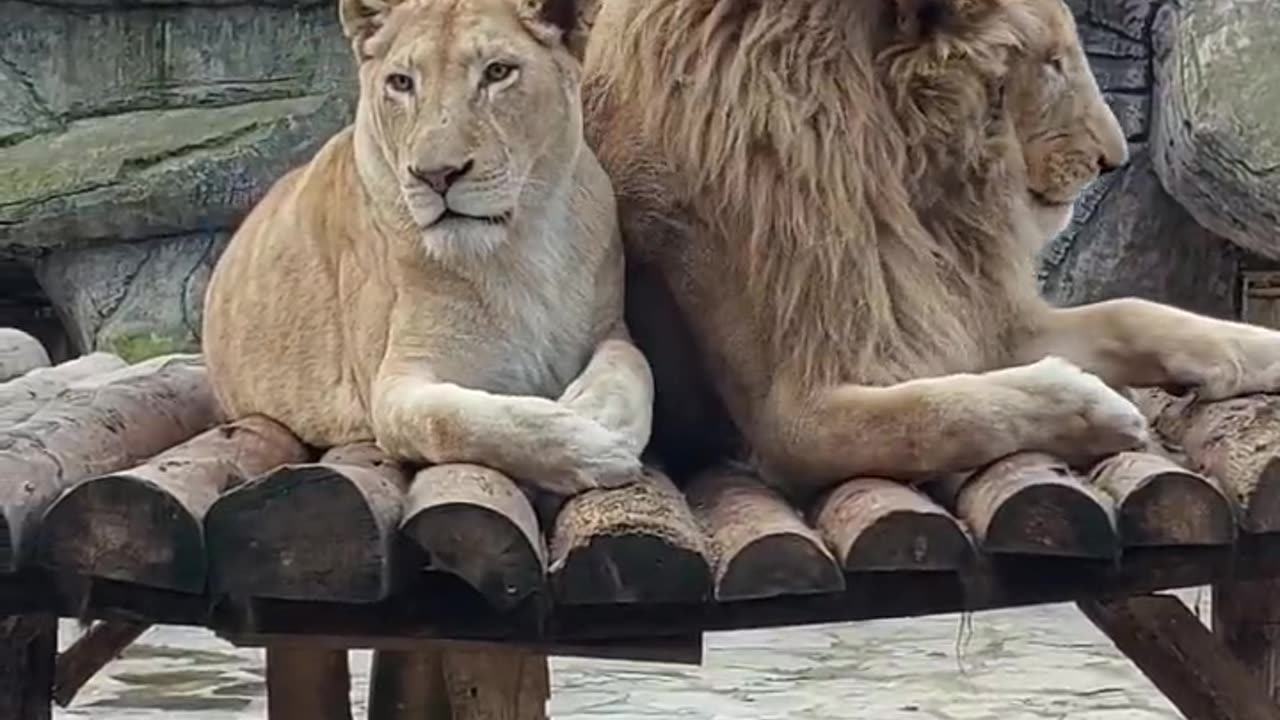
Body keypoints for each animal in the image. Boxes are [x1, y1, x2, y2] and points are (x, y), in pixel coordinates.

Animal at [207, 0, 660, 491]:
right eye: (401, 83)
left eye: (498, 72)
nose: (436, 175)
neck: (521, 244)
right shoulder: (395, 385)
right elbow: (458, 421)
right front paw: (592, 448)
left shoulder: (612, 328)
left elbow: (635, 366)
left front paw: (601, 417)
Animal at [586, 0, 1280, 491]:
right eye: (1052, 62)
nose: (1113, 161)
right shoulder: (785, 421)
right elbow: (940, 411)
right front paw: (1092, 408)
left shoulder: (971, 316)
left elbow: (1133, 313)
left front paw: (1260, 349)